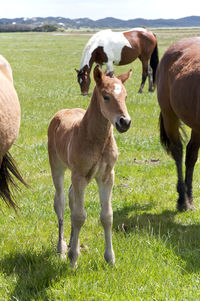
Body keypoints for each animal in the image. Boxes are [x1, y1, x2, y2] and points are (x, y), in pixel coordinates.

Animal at [47, 65, 132, 264]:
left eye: (125, 96)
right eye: (106, 96)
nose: (124, 122)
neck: (96, 140)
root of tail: (60, 113)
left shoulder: (107, 176)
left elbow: (107, 216)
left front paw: (110, 258)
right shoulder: (79, 176)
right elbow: (79, 216)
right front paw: (72, 259)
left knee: (71, 197)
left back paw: (73, 243)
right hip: (57, 166)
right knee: (61, 201)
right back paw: (62, 248)